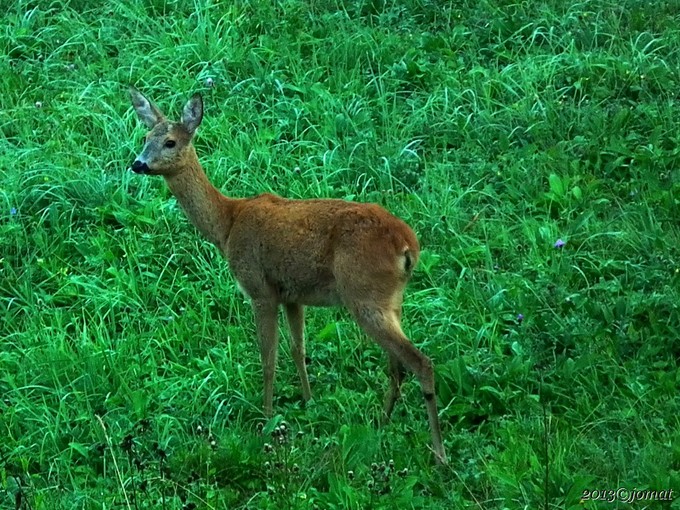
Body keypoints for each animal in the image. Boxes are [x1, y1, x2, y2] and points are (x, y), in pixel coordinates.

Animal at [128, 88, 448, 466]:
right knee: (396, 364)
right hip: (389, 299)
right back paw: (382, 422)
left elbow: (268, 358)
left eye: (171, 142)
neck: (227, 224)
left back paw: (438, 453)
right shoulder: (293, 295)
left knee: (420, 361)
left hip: (364, 294)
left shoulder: (260, 289)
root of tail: (408, 245)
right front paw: (309, 402)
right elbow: (298, 349)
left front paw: (266, 419)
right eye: (145, 137)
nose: (138, 163)